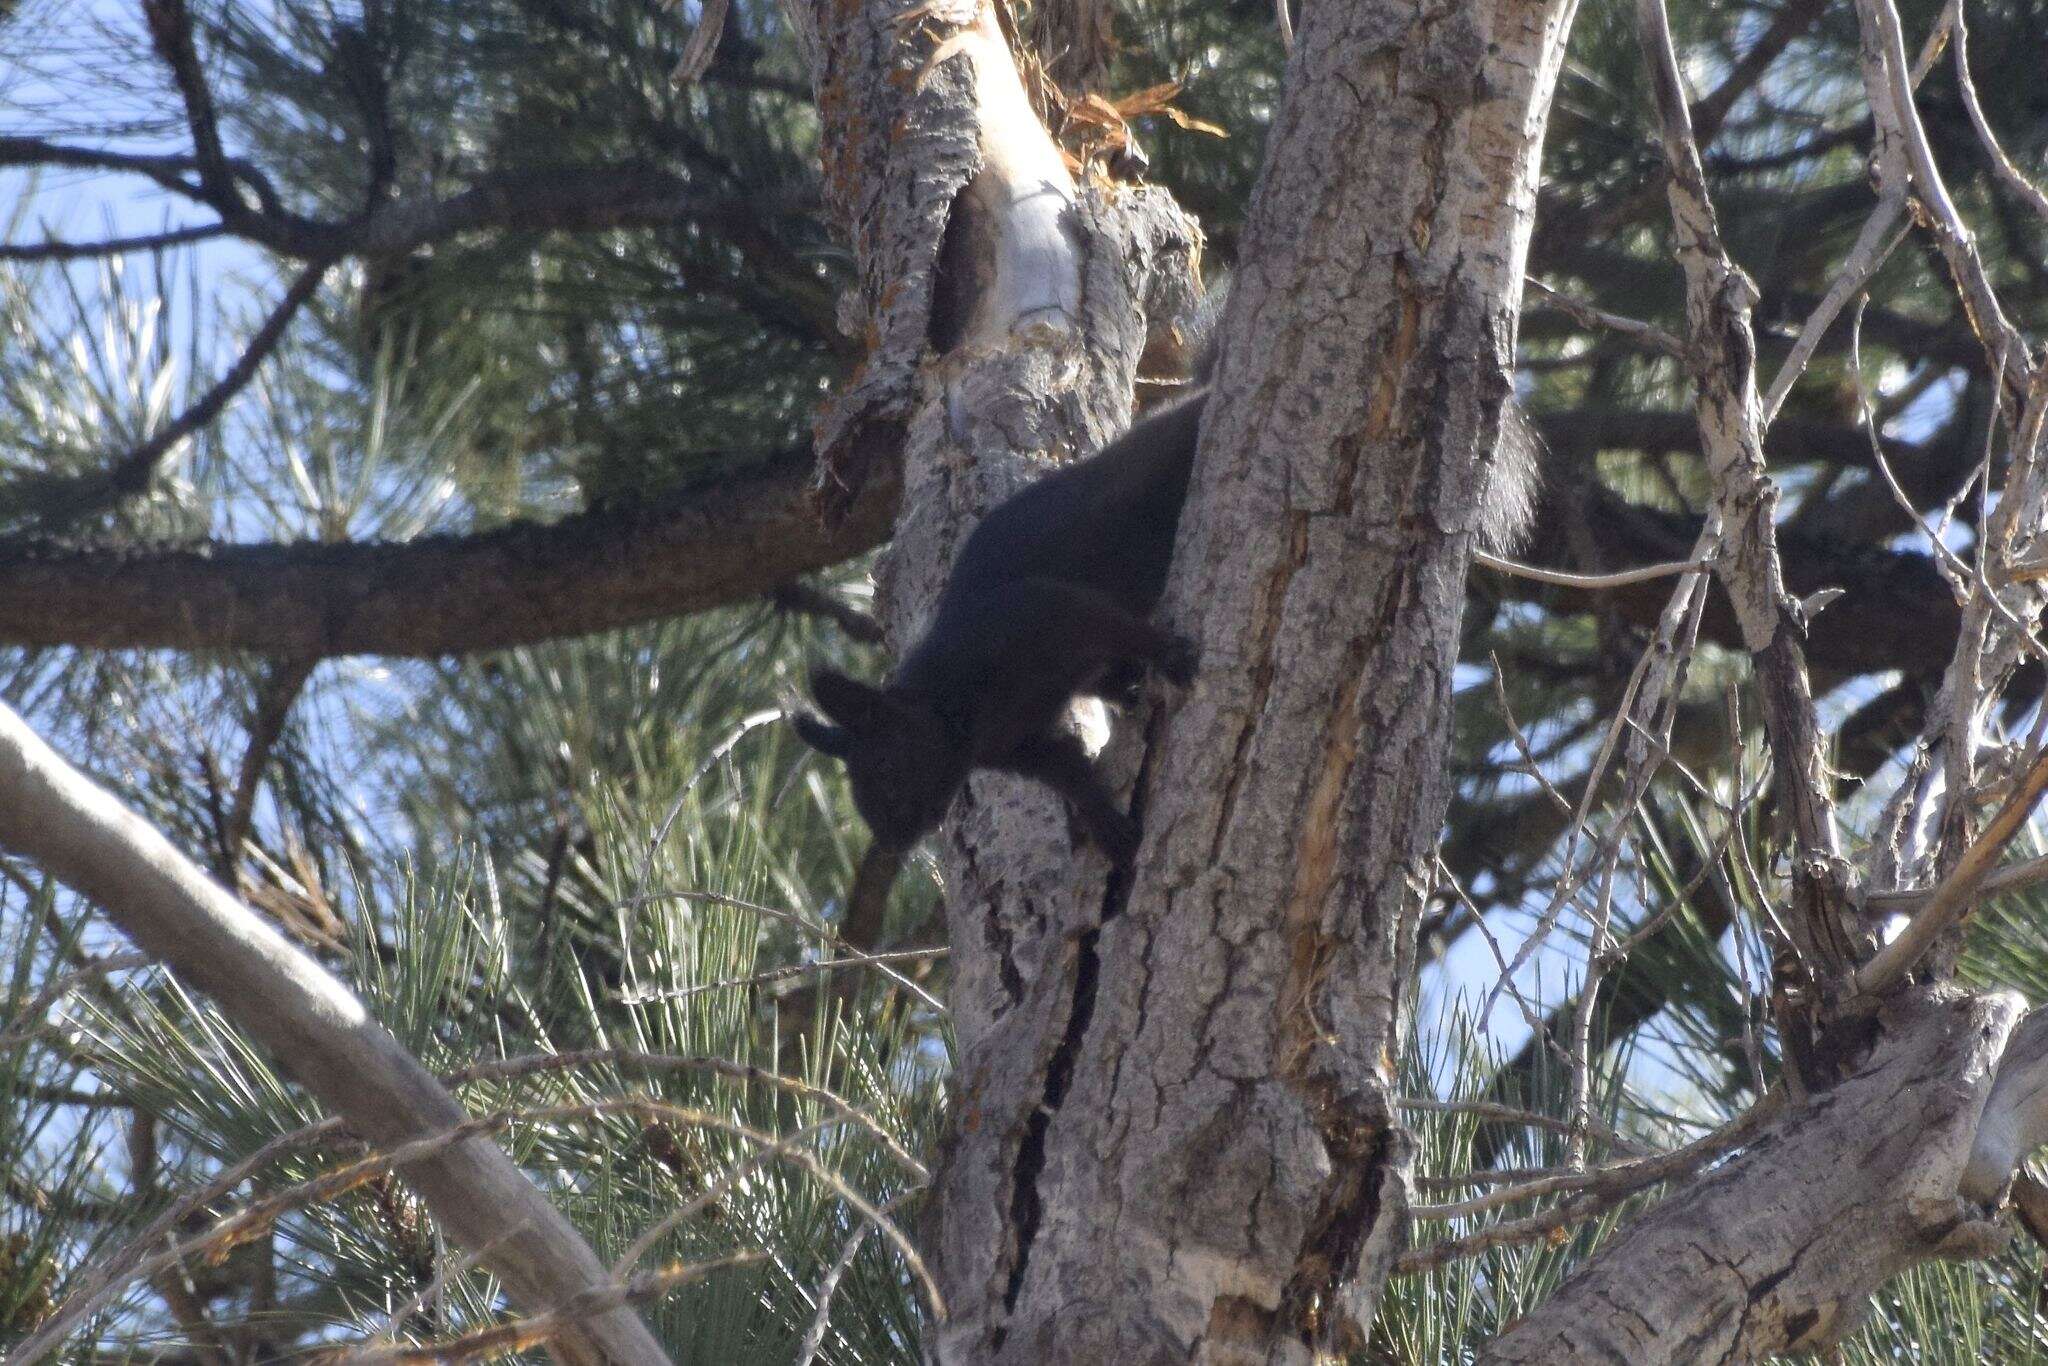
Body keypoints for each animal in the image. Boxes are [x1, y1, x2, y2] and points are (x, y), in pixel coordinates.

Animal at [790, 321, 1531, 946]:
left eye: (888, 765)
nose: (893, 841)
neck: (958, 708)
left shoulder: (1034, 615)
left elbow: (1106, 623)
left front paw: (1169, 656)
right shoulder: (1023, 744)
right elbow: (1069, 770)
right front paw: (1107, 825)